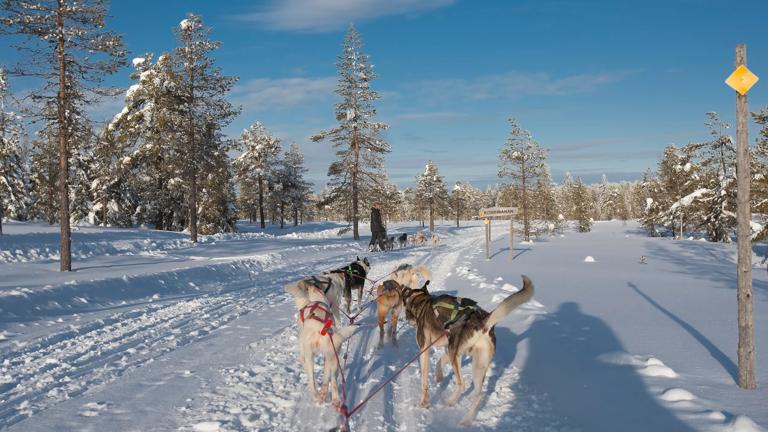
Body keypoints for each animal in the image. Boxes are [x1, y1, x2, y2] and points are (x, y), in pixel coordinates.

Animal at [402, 276, 536, 424]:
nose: (407, 320)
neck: (423, 302)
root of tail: (483, 322)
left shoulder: (425, 349)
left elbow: (424, 380)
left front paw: (424, 402)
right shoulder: (450, 348)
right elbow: (439, 362)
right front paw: (439, 376)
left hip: (456, 356)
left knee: (462, 385)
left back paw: (451, 401)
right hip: (475, 364)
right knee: (478, 395)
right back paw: (466, 420)